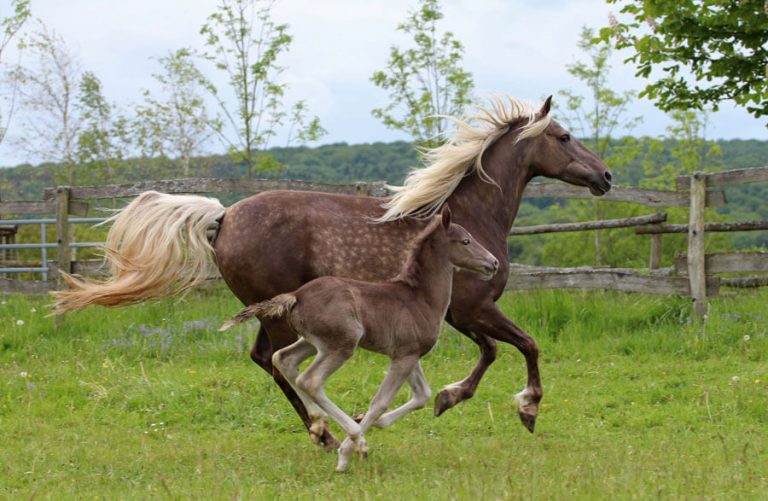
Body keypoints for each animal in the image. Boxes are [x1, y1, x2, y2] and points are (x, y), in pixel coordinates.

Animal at [219, 206, 498, 472]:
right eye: (466, 241)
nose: (493, 263)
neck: (421, 298)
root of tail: (295, 296)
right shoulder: (405, 357)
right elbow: (381, 402)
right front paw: (351, 448)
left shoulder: (408, 355)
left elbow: (423, 395)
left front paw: (375, 423)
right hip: (341, 345)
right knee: (309, 380)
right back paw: (350, 438)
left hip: (312, 343)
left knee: (283, 359)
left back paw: (318, 423)